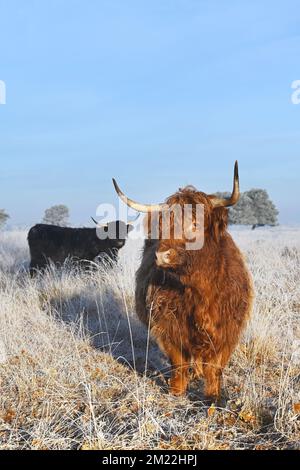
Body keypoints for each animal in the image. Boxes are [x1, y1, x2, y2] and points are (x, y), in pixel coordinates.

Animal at [112, 163, 253, 402]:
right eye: (164, 225)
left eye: (195, 224)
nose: (162, 255)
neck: (199, 291)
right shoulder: (167, 326)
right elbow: (178, 363)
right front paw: (177, 393)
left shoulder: (228, 329)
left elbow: (214, 368)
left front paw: (213, 398)